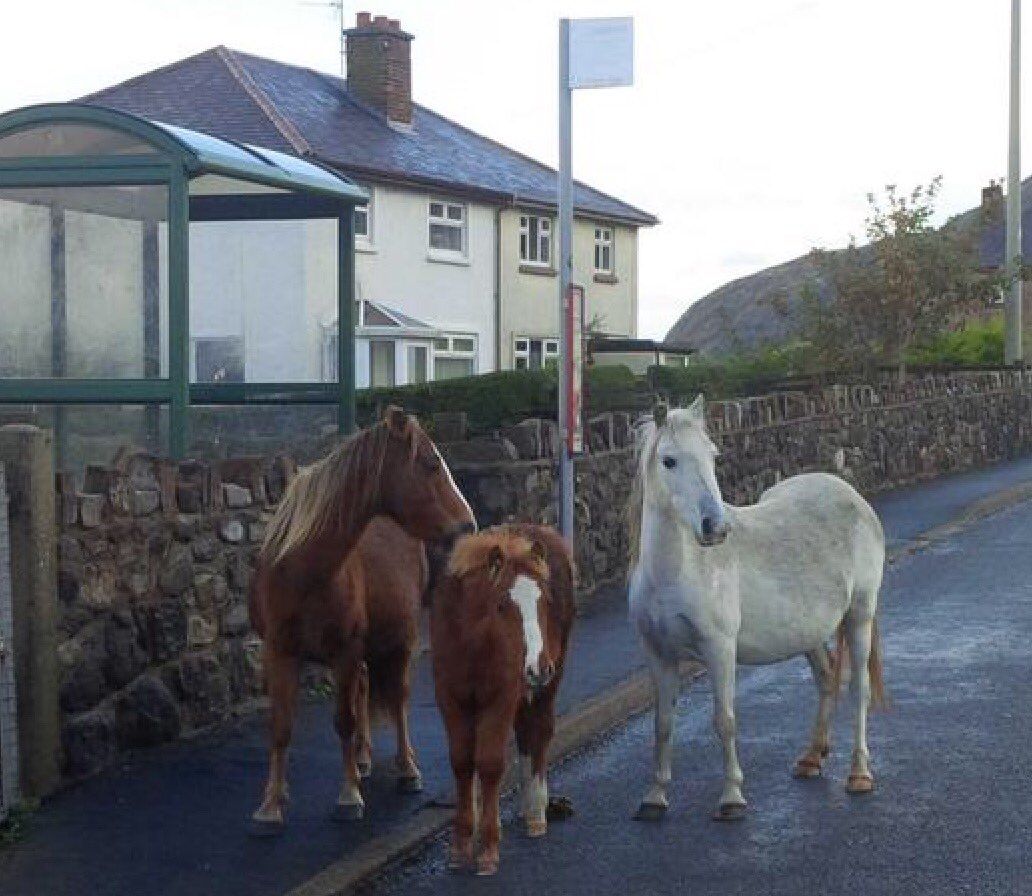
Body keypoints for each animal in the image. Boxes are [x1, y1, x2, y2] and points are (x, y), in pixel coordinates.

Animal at [247, 407, 475, 833]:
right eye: (431, 463)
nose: (468, 526)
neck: (302, 571)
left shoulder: (345, 652)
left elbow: (344, 720)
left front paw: (349, 796)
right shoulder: (279, 652)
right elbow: (282, 727)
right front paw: (271, 804)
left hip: (400, 640)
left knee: (398, 699)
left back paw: (406, 769)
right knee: (367, 686)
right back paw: (364, 758)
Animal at [430, 524, 576, 876]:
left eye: (545, 600)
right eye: (500, 605)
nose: (539, 666)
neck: (474, 645)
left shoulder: (501, 697)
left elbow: (490, 763)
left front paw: (488, 848)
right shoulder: (450, 700)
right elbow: (462, 762)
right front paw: (461, 845)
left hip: (546, 684)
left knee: (539, 732)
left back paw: (536, 811)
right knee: (525, 734)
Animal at [627, 396, 886, 823]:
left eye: (712, 456)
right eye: (669, 461)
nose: (715, 527)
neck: (676, 572)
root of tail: (853, 496)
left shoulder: (719, 650)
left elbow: (724, 721)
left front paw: (732, 796)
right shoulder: (657, 654)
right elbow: (662, 725)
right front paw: (654, 796)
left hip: (859, 616)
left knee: (858, 688)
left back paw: (859, 773)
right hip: (808, 632)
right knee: (825, 679)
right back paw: (811, 758)